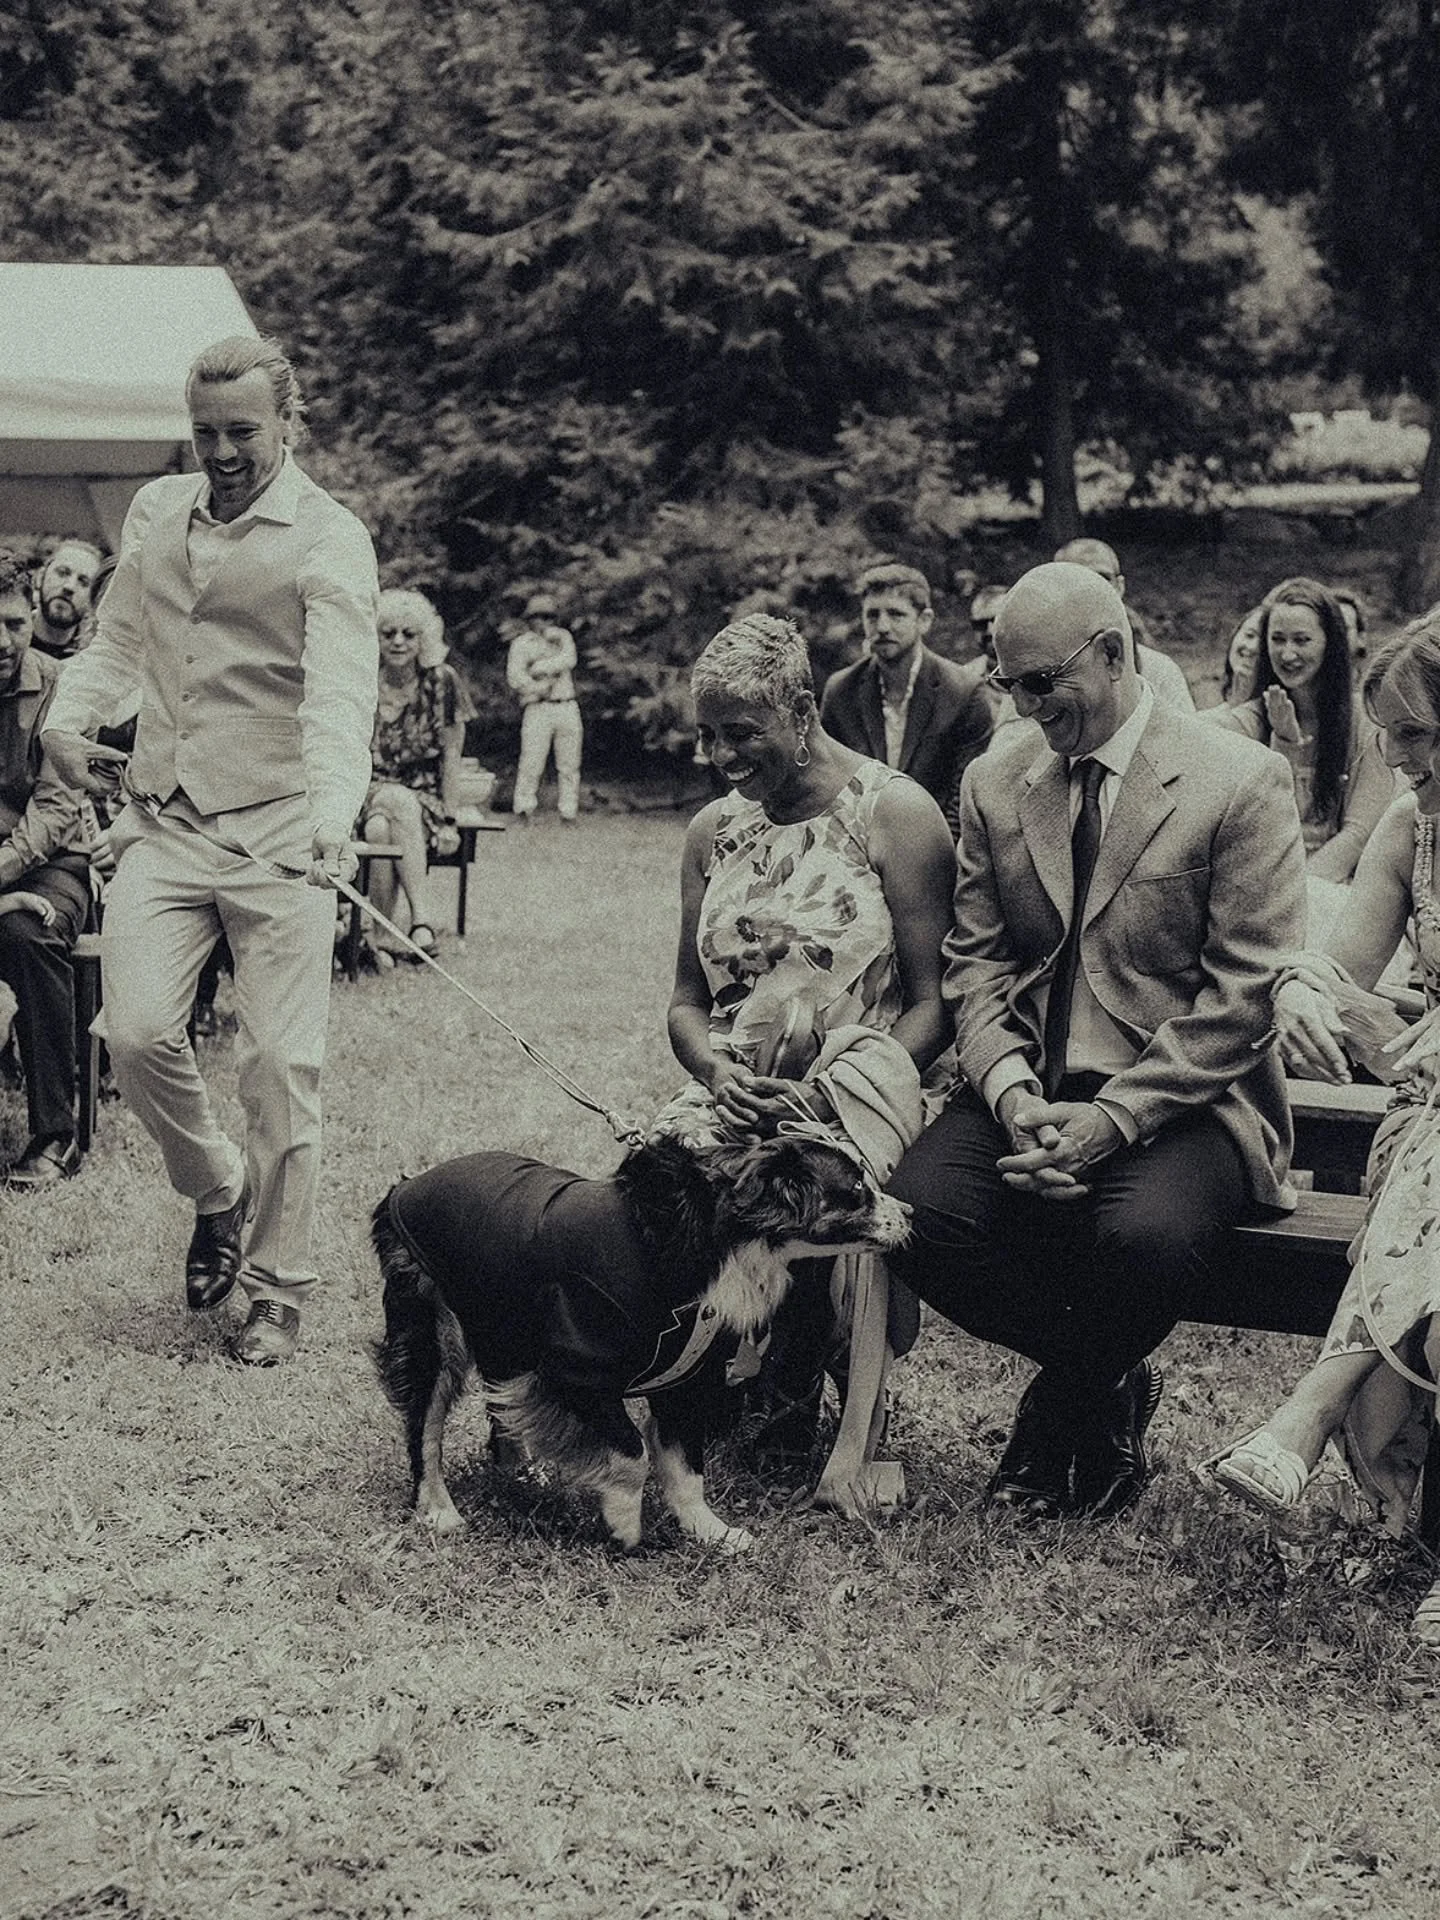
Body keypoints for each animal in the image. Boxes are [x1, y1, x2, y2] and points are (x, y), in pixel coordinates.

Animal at [372, 1130, 910, 1552]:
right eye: (856, 1189)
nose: (909, 1212)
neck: (716, 1237)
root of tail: (404, 1186)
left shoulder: (686, 1376)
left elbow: (685, 1464)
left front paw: (710, 1530)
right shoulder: (576, 1369)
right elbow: (632, 1454)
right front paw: (624, 1527)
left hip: (501, 1317)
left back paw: (519, 1470)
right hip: (431, 1320)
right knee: (425, 1425)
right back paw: (439, 1509)